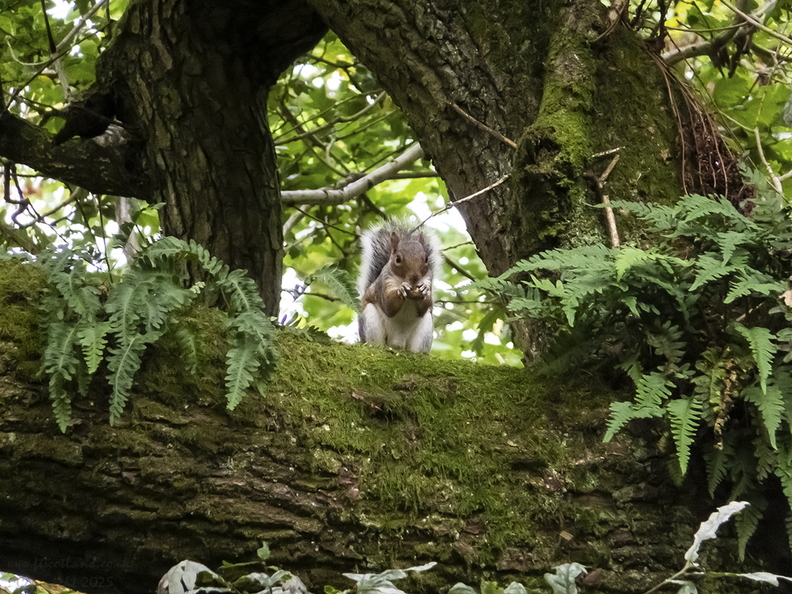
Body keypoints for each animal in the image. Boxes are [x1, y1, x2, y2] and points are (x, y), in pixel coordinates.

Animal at [358, 222, 441, 352]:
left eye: (426, 259)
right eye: (398, 259)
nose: (414, 277)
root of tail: (397, 344)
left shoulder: (428, 280)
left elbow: (424, 307)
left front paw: (424, 290)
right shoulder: (384, 283)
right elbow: (388, 305)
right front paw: (401, 289)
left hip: (425, 328)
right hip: (371, 321)